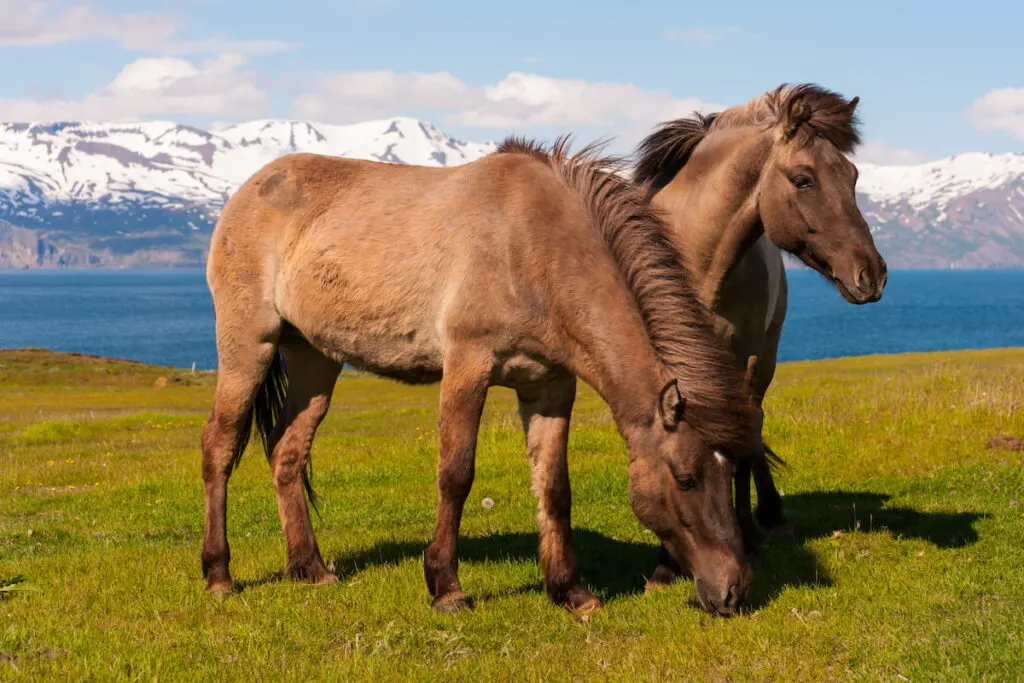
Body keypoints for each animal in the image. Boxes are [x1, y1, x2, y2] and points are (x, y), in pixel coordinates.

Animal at [199, 136, 761, 618]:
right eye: (686, 478)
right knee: (219, 447)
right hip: (249, 343)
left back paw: (309, 567)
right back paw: (218, 574)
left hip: (316, 357)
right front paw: (446, 587)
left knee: (287, 450)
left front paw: (571, 591)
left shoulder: (550, 386)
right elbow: (456, 474)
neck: (532, 248)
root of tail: (252, 187)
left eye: (731, 472)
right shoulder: (468, 367)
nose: (733, 590)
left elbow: (554, 487)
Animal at [630, 82, 888, 585]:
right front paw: (666, 562)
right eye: (804, 179)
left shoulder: (743, 363)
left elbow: (740, 446)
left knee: (751, 433)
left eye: (852, 175)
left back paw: (763, 519)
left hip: (762, 361)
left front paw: (742, 535)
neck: (694, 264)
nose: (872, 274)